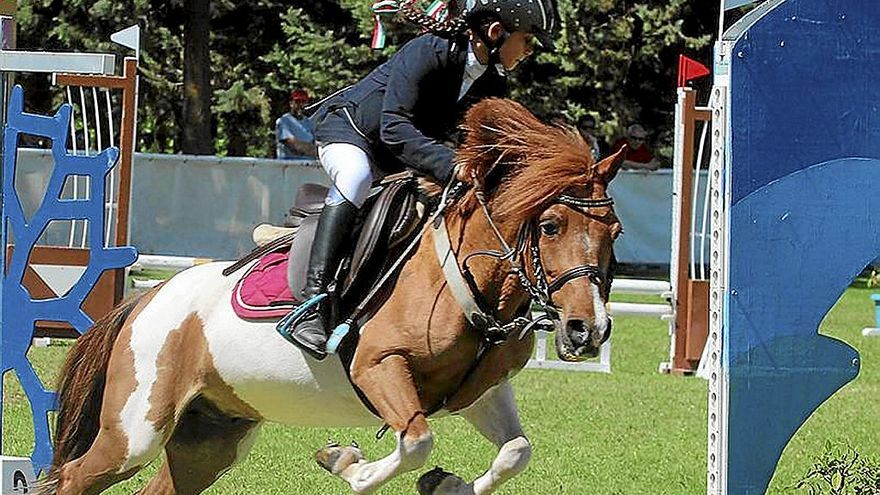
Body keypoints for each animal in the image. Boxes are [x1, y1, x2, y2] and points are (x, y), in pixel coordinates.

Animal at [37, 99, 624, 494]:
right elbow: (415, 441)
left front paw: (445, 484)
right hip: (136, 430)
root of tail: (146, 299)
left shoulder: (479, 391)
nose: (587, 331)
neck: (468, 284)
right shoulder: (379, 367)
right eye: (549, 226)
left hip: (211, 434)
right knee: (75, 476)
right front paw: (347, 462)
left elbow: (515, 452)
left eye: (614, 232)